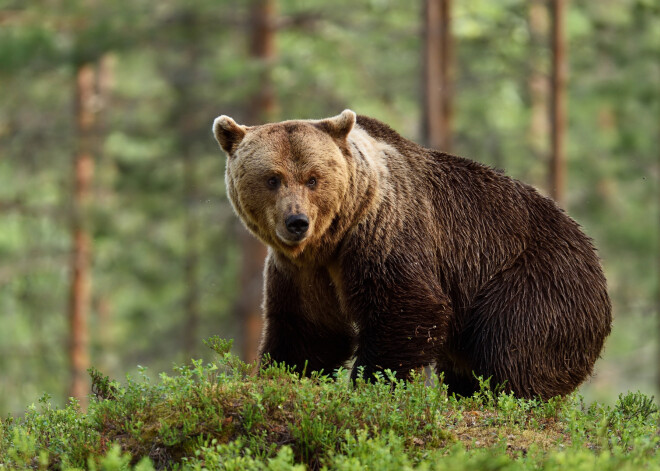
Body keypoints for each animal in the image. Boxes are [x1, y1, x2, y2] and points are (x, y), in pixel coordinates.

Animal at [214, 111, 612, 402]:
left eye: (313, 178)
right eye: (273, 178)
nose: (297, 221)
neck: (332, 241)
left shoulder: (385, 235)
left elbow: (407, 307)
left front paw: (371, 381)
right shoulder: (303, 273)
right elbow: (309, 329)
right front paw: (284, 373)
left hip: (536, 281)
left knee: (511, 346)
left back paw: (508, 396)